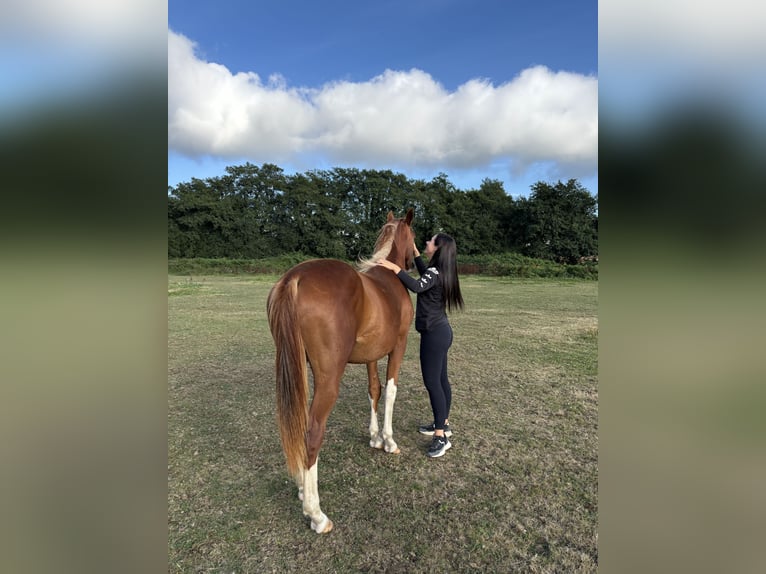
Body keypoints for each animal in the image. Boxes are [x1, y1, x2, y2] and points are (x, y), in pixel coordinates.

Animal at [266, 209, 416, 533]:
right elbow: (391, 389)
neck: (389, 280)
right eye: (414, 235)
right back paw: (316, 513)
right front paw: (389, 440)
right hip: (327, 382)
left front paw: (374, 437)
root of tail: (294, 278)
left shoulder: (371, 355)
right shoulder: (398, 346)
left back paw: (302, 488)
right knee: (312, 432)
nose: (415, 258)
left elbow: (374, 390)